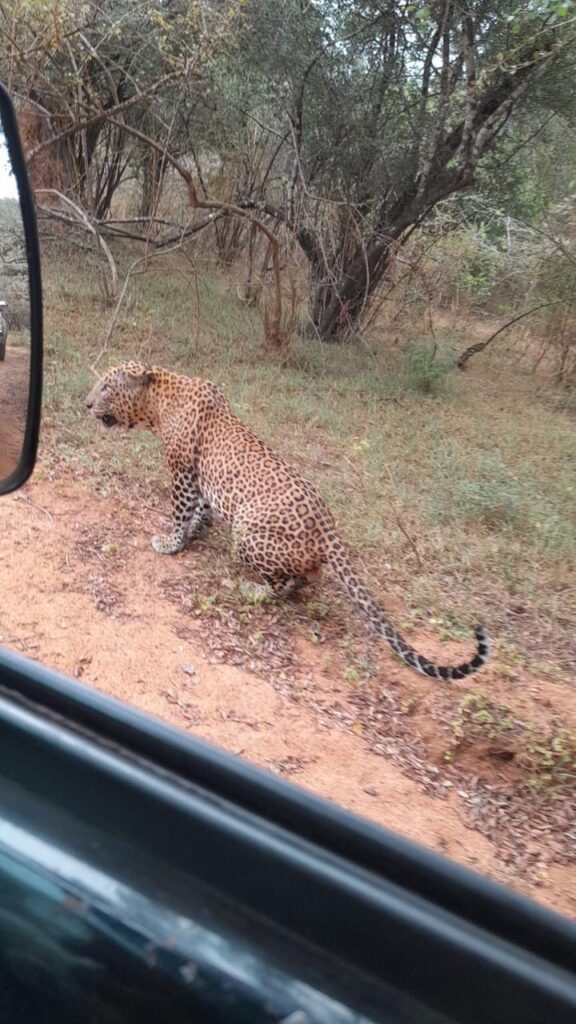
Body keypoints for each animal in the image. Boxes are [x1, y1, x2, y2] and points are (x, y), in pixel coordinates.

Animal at [85, 361, 490, 681]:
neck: (157, 401)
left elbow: (182, 510)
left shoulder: (183, 470)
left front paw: (171, 542)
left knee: (286, 584)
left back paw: (251, 589)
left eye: (106, 385)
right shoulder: (202, 478)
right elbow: (201, 509)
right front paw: (196, 532)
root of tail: (328, 526)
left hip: (247, 531)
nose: (86, 403)